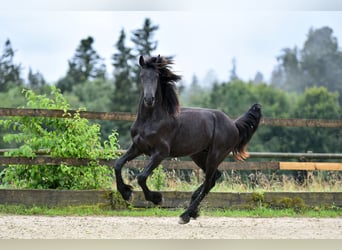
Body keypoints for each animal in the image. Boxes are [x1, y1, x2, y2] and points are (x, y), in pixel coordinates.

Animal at [115, 55, 262, 225]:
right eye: (141, 76)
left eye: (157, 76)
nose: (149, 99)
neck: (151, 120)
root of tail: (233, 125)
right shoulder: (138, 147)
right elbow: (118, 164)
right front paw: (126, 193)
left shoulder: (160, 153)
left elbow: (141, 177)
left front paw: (157, 198)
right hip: (199, 155)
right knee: (213, 179)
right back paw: (192, 210)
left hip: (215, 155)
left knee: (209, 182)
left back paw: (185, 215)